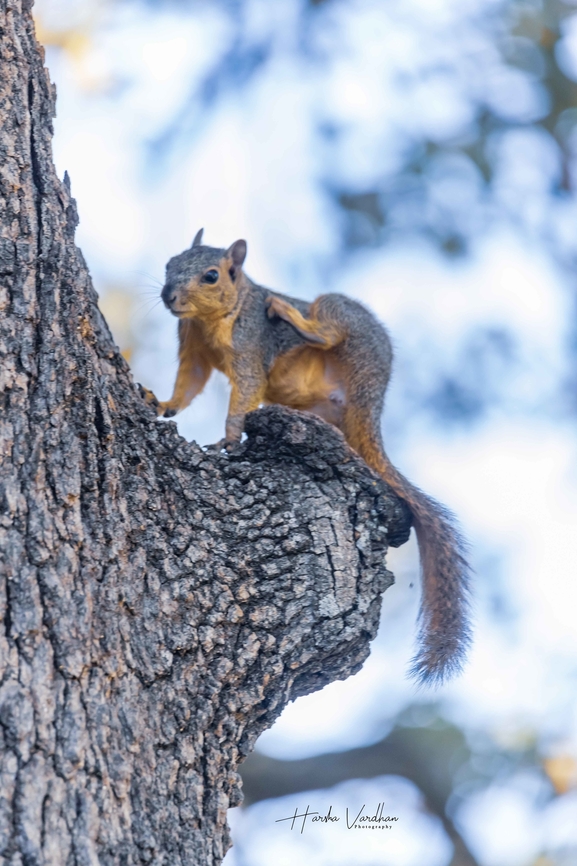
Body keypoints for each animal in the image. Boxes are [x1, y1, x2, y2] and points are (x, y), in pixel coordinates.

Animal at [152, 228, 472, 685]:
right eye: (169, 263)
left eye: (211, 276)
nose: (168, 296)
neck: (211, 321)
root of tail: (371, 395)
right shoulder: (192, 346)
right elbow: (188, 385)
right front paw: (163, 403)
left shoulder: (250, 346)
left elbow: (244, 393)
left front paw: (229, 437)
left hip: (343, 317)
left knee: (329, 333)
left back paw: (295, 316)